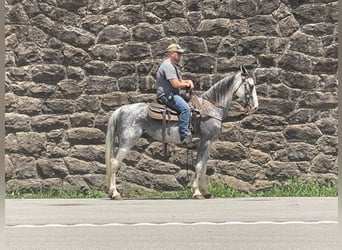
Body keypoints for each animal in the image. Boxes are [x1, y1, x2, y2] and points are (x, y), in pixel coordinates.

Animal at [105, 65, 258, 200]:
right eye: (250, 85)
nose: (255, 107)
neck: (210, 108)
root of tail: (121, 109)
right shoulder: (205, 141)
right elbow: (199, 166)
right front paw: (197, 192)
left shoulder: (209, 143)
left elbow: (204, 166)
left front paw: (206, 191)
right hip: (127, 141)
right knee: (114, 163)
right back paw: (115, 193)